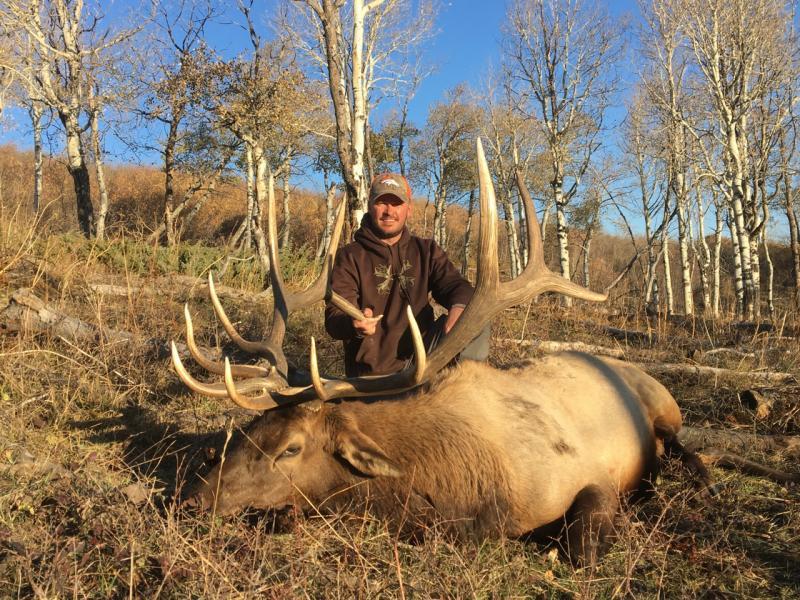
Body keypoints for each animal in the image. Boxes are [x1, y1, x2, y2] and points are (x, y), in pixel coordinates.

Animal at [170, 139, 713, 564]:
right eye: (248, 431)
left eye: (291, 448)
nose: (192, 500)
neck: (462, 493)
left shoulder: (591, 474)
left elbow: (582, 551)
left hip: (664, 404)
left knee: (684, 444)